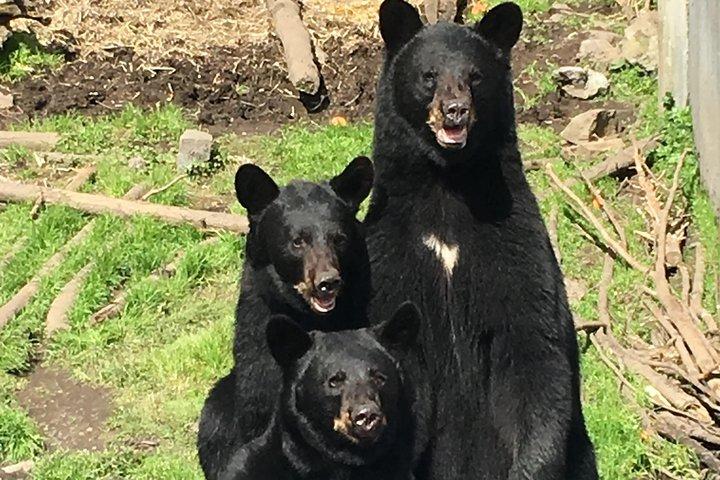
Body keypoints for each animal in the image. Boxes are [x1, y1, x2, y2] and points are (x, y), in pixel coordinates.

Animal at [363, 1, 598, 479]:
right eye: (429, 75)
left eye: (474, 76)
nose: (455, 111)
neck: (449, 190)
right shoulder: (390, 252)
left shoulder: (513, 241)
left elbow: (531, 351)